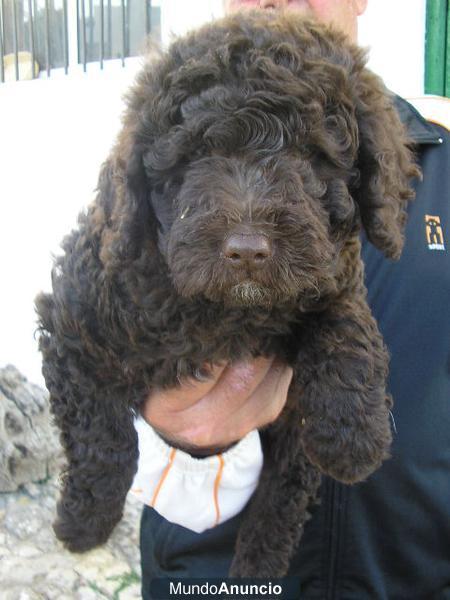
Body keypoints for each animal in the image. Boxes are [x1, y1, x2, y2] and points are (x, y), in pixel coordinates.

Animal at [35, 11, 418, 576]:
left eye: (312, 155)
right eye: (195, 157)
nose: (248, 250)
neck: (227, 311)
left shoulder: (328, 268)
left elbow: (347, 315)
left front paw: (354, 432)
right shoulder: (71, 327)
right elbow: (104, 442)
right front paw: (84, 524)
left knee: (283, 498)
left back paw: (259, 564)